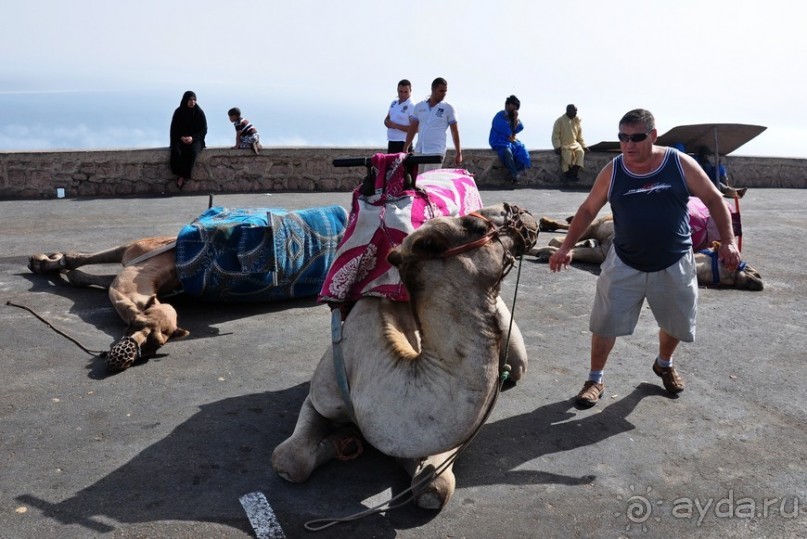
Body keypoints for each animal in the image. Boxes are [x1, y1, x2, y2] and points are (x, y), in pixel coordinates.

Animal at [27, 205, 350, 374]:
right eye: (140, 326)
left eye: (157, 344)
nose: (130, 356)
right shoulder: (131, 257)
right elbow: (80, 262)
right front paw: (47, 262)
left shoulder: (128, 271)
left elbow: (82, 272)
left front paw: (53, 265)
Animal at [268, 202, 540, 510]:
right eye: (475, 225)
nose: (519, 210)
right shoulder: (321, 395)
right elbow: (289, 460)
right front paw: (343, 437)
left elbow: (432, 487)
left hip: (513, 345)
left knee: (516, 364)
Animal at [532, 212, 764, 292]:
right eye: (734, 258)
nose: (759, 278)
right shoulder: (598, 226)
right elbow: (562, 239)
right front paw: (540, 249)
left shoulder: (602, 253)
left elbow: (569, 249)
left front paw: (544, 252)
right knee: (573, 224)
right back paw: (546, 223)